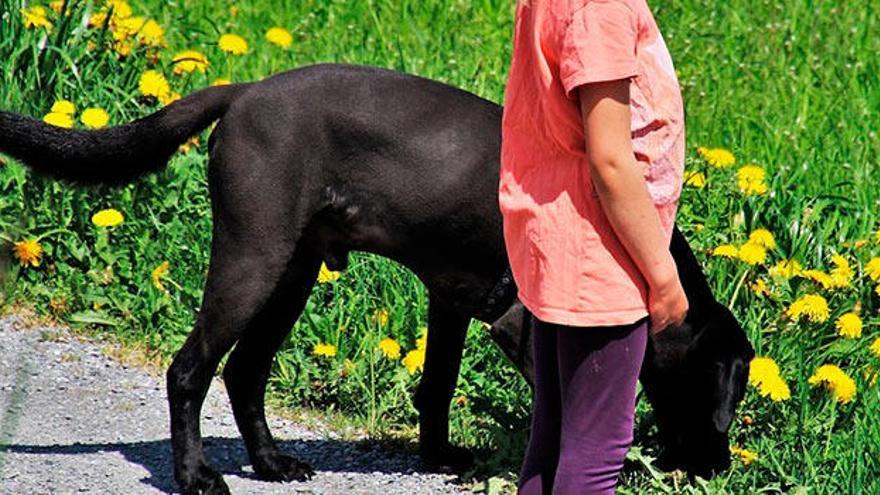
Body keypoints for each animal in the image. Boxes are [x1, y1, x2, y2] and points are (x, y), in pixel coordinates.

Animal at [0, 64, 752, 494]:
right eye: (723, 389)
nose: (720, 464)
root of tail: (244, 92)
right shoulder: (524, 325)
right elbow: (563, 411)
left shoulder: (451, 301)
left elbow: (437, 386)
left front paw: (438, 458)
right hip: (253, 256)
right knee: (191, 368)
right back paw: (196, 476)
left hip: (293, 270)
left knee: (243, 371)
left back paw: (272, 463)